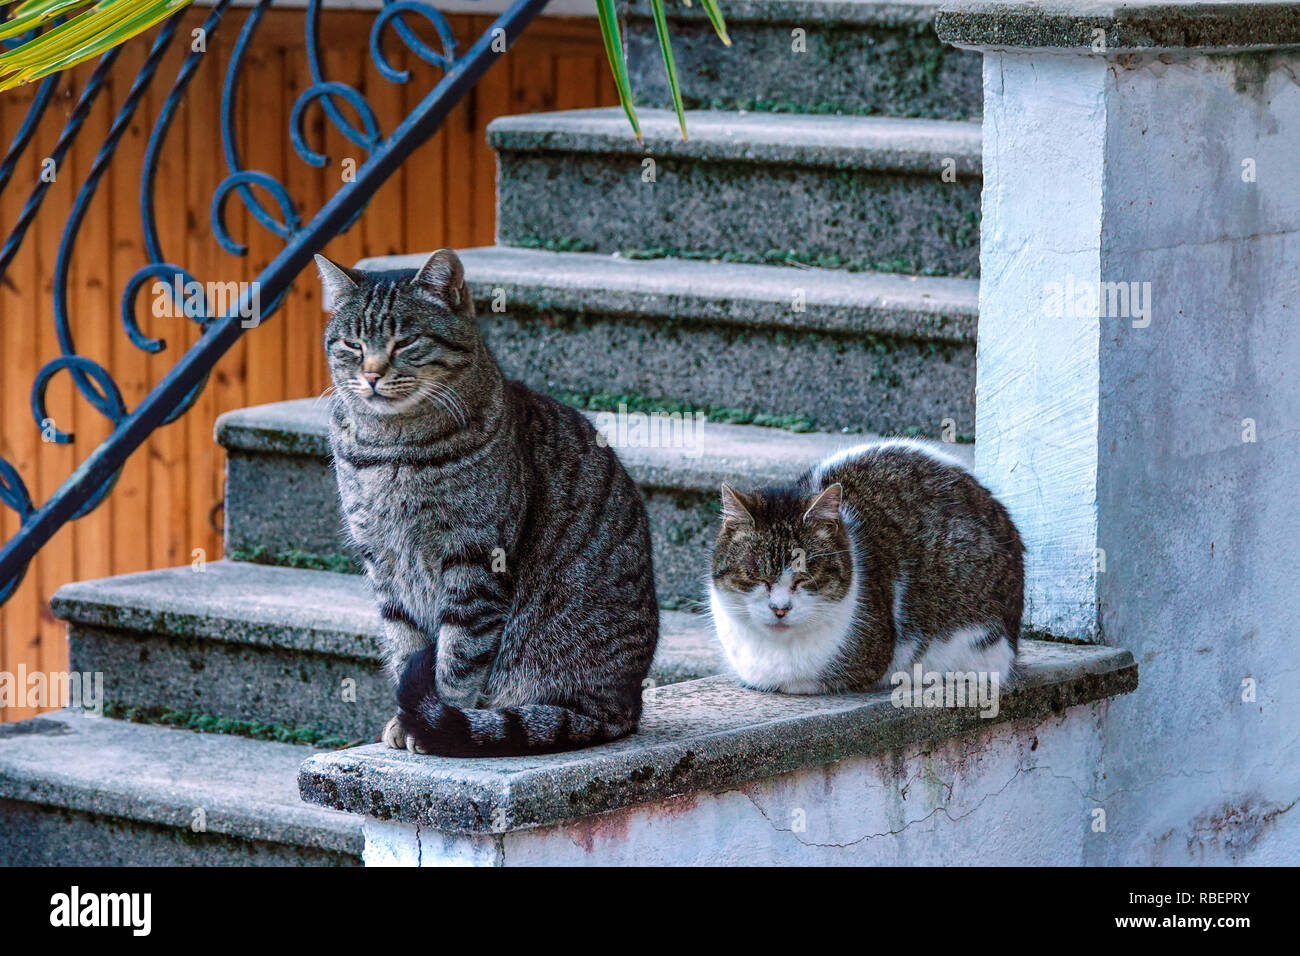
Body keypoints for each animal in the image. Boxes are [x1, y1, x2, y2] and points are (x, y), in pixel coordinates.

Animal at [315, 251, 660, 759]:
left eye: (406, 341)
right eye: (352, 345)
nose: (372, 374)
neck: (391, 448)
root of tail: (627, 705)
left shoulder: (474, 557)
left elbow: (456, 659)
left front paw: (431, 723)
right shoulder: (382, 559)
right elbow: (404, 644)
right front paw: (405, 718)